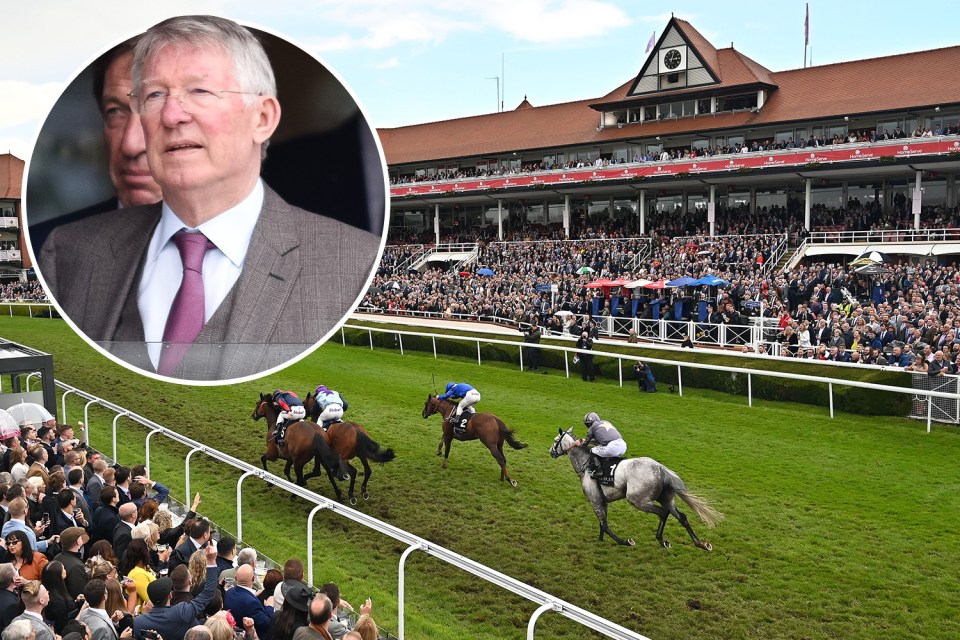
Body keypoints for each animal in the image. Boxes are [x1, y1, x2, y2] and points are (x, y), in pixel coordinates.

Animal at [548, 424, 720, 552]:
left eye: (556, 440)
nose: (551, 452)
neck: (586, 464)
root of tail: (660, 468)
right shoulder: (602, 500)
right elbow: (603, 524)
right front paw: (601, 540)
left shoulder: (594, 499)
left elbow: (605, 524)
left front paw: (625, 541)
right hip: (666, 498)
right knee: (681, 517)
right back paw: (701, 544)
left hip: (637, 499)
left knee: (663, 513)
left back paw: (662, 540)